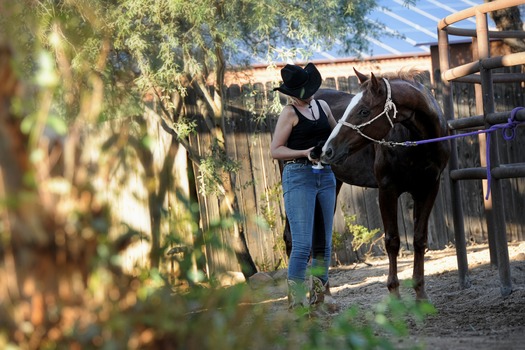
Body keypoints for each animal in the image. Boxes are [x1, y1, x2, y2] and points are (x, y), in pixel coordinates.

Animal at [320, 71, 450, 300]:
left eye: (364, 110)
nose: (328, 150)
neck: (418, 143)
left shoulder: (428, 189)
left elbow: (419, 239)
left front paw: (420, 294)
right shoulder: (387, 191)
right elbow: (392, 241)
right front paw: (394, 295)